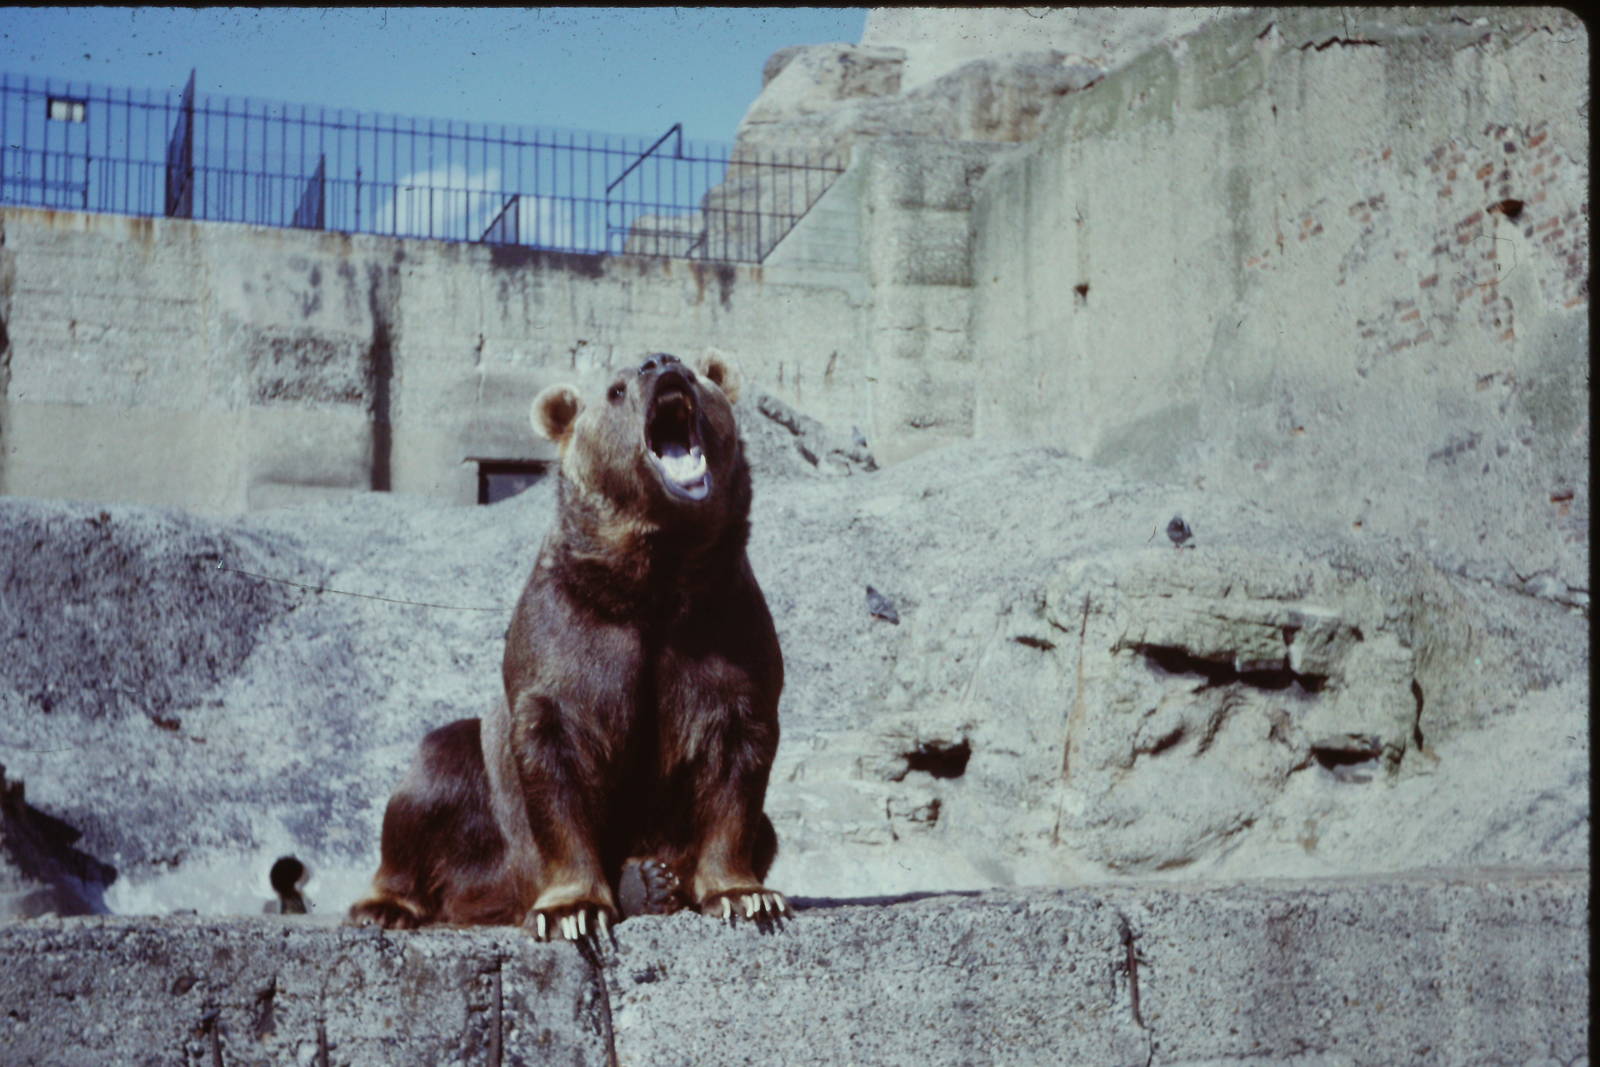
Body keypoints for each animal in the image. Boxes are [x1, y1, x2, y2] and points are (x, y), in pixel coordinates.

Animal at [348, 351, 788, 940]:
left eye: (696, 373)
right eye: (616, 389)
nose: (661, 362)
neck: (653, 583)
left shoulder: (724, 626)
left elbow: (736, 759)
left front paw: (745, 895)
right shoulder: (570, 631)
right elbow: (557, 753)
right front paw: (571, 908)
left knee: (765, 829)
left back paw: (654, 880)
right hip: (483, 819)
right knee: (430, 779)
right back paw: (385, 905)